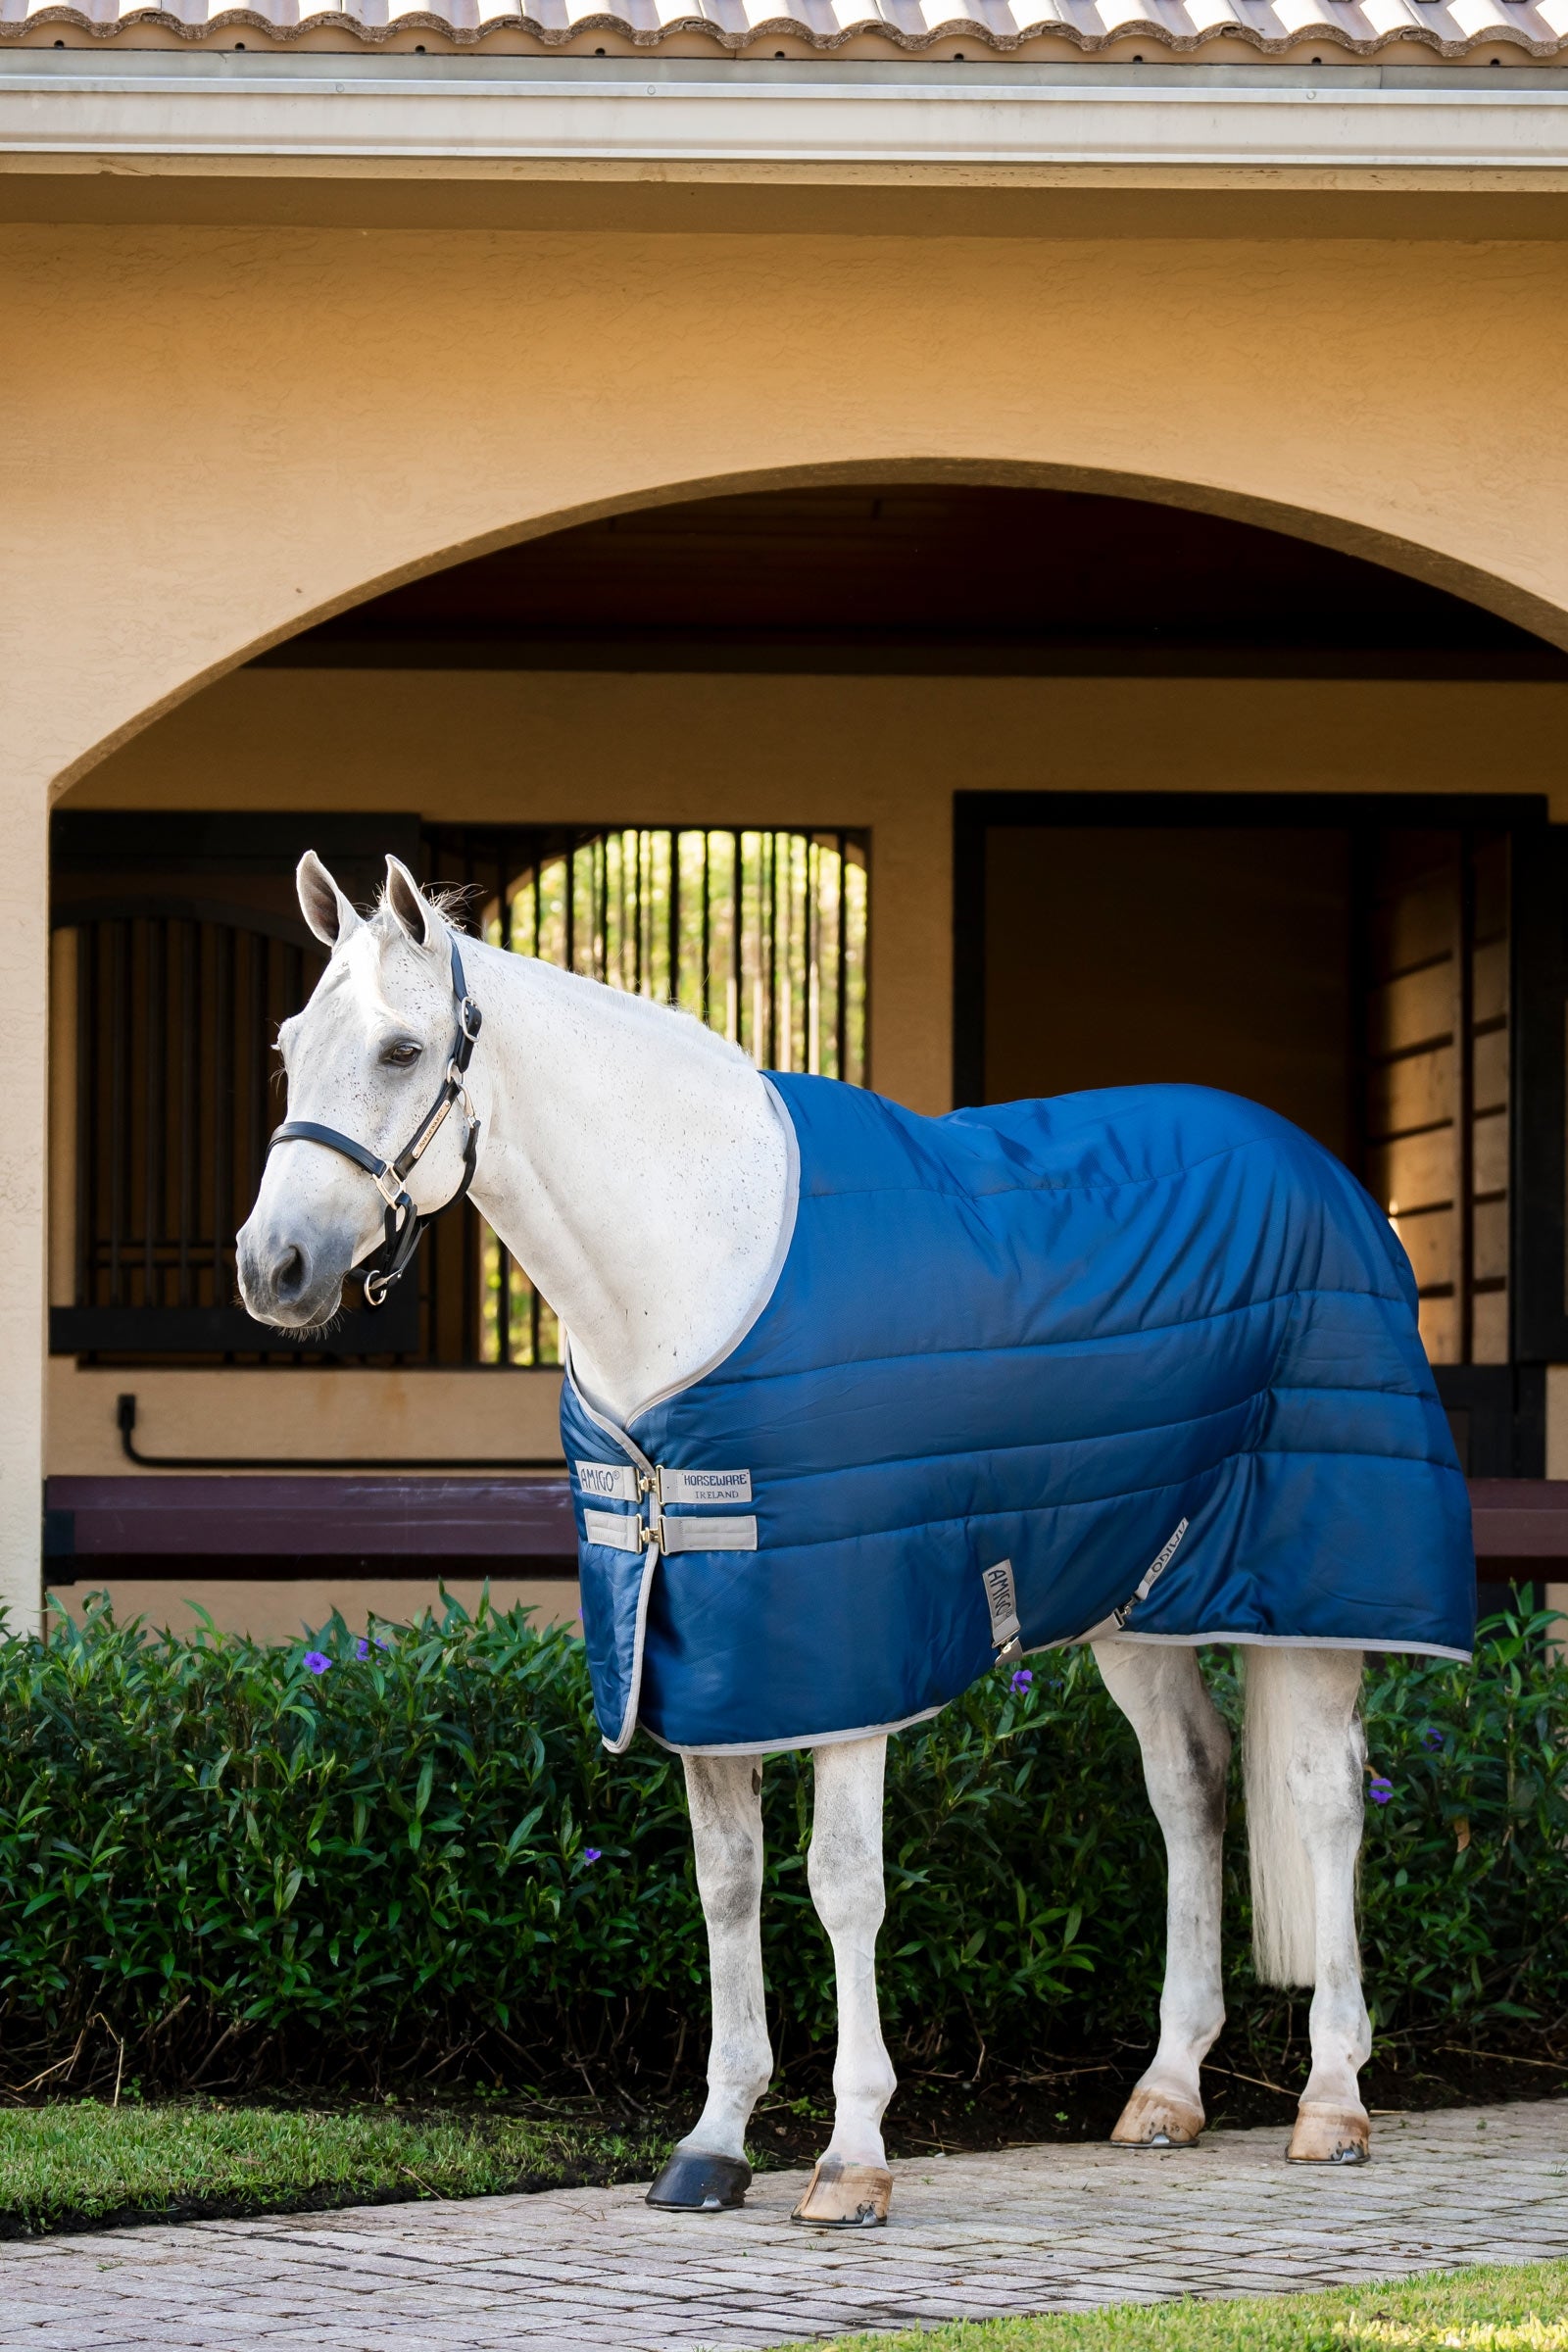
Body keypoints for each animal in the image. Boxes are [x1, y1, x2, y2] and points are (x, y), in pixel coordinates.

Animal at [238, 851, 1473, 2226]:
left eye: (402, 1050)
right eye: (291, 1047)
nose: (272, 1266)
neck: (698, 1258)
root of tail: (1326, 1174)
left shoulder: (847, 1653)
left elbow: (841, 1883)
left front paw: (851, 2157)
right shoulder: (697, 1648)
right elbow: (726, 1881)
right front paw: (713, 2142)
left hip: (1312, 1590)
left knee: (1324, 1799)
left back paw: (1332, 2100)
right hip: (1136, 1594)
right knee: (1191, 1784)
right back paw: (1166, 2091)